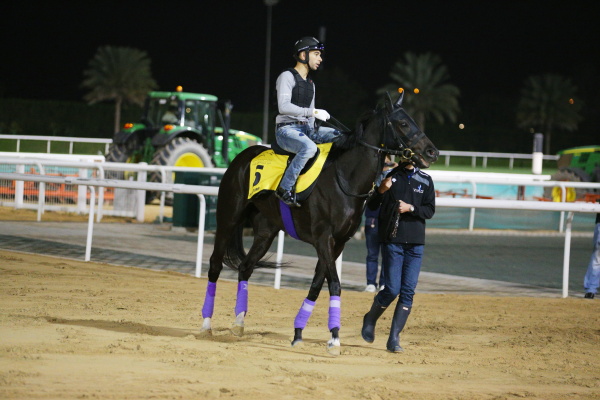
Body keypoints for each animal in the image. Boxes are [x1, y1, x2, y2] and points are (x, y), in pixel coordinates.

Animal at [199, 90, 438, 354]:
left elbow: (316, 285)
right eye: (403, 123)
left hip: (266, 231)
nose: (432, 152)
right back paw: (206, 325)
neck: (344, 179)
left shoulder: (338, 243)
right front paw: (334, 338)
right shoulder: (324, 238)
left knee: (245, 267)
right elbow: (334, 284)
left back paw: (239, 323)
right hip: (228, 217)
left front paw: (298, 333)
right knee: (215, 265)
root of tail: (240, 158)